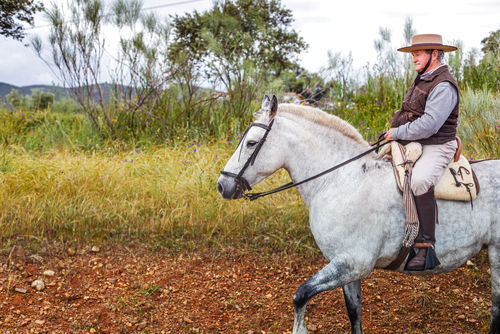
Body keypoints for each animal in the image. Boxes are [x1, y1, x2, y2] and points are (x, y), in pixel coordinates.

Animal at [217, 94, 500, 334]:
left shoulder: (355, 263)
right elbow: (354, 311)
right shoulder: (345, 266)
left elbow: (300, 295)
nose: (222, 185)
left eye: (251, 142)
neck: (340, 180)